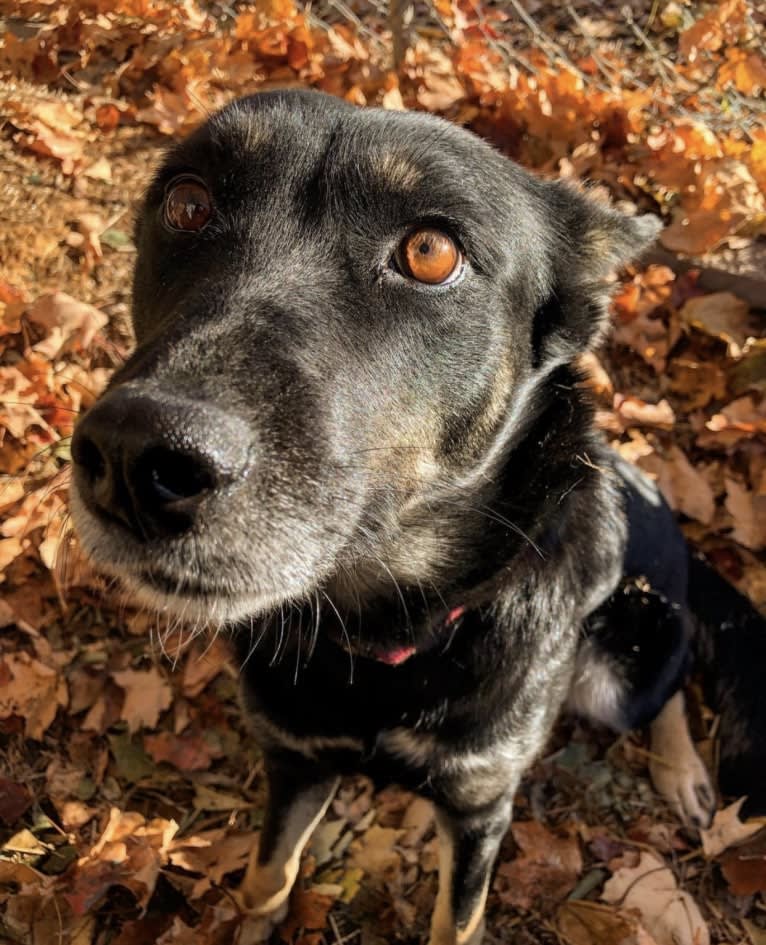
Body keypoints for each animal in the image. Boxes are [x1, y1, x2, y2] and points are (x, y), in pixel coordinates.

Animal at [69, 90, 764, 944]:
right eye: (187, 203)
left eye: (430, 252)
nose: (134, 457)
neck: (383, 634)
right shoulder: (295, 759)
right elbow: (269, 875)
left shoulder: (480, 809)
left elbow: (454, 919)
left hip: (618, 664)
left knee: (666, 682)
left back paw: (682, 770)